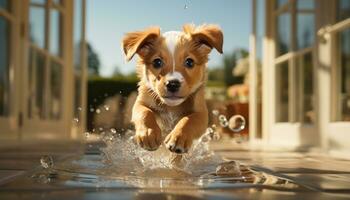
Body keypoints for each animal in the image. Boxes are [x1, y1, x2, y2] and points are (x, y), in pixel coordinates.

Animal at [121, 24, 223, 154]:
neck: (171, 107)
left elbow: (188, 120)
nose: (173, 84)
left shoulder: (201, 113)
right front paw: (149, 134)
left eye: (189, 62)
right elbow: (144, 113)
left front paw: (178, 137)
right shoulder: (141, 102)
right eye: (157, 62)